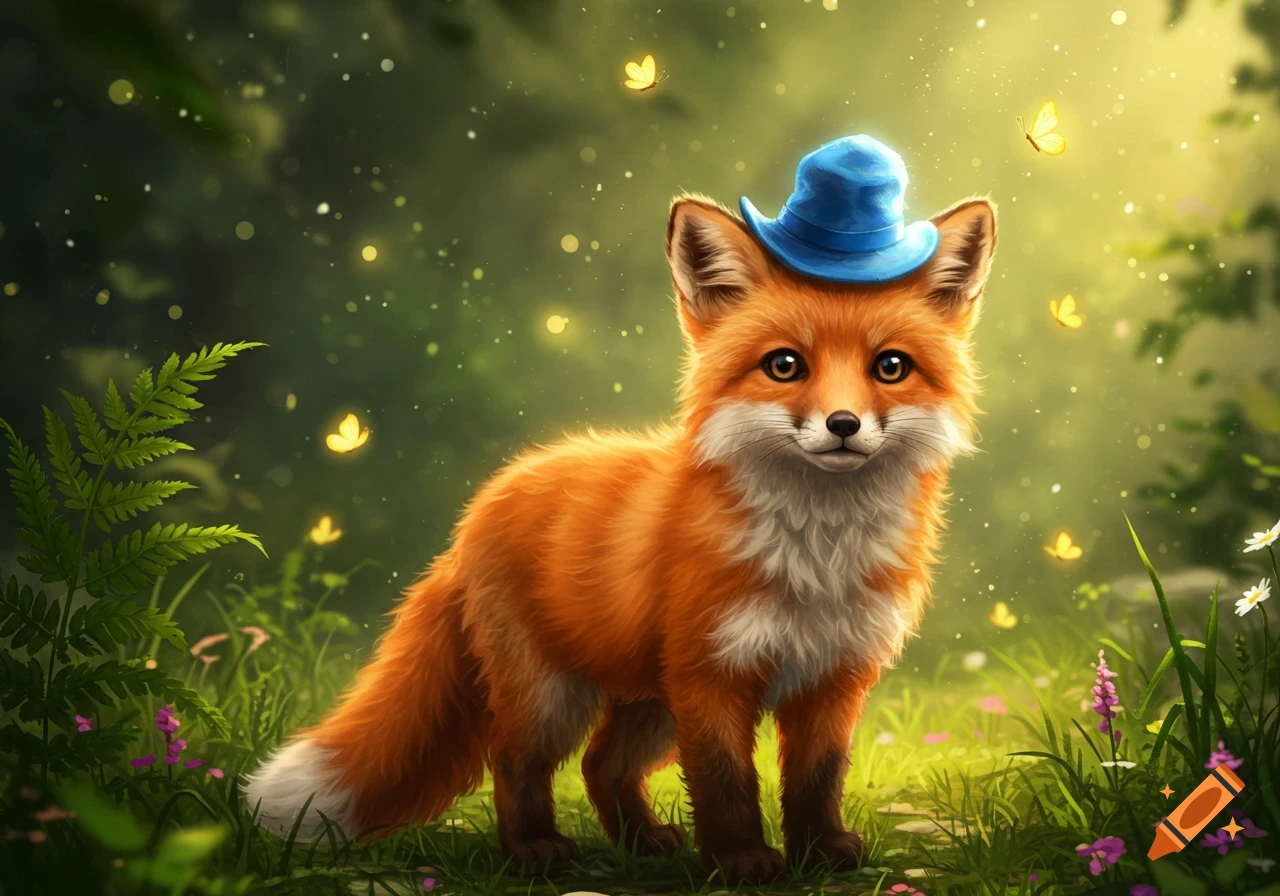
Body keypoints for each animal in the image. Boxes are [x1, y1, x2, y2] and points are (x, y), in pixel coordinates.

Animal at [244, 180, 996, 883]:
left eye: (890, 367)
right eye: (784, 365)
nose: (843, 424)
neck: (819, 551)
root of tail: (476, 511)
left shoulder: (834, 676)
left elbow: (816, 779)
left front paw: (818, 852)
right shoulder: (712, 674)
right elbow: (726, 781)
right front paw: (739, 860)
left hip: (649, 702)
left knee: (601, 764)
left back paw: (641, 843)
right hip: (554, 696)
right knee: (514, 760)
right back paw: (534, 849)